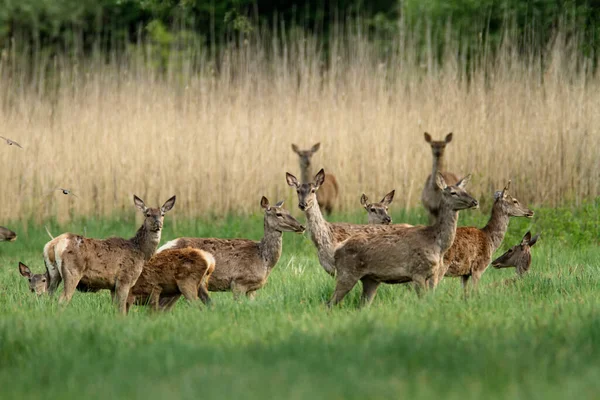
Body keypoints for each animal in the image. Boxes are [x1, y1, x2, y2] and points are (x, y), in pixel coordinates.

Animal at [39, 195, 176, 314]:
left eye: (162, 214)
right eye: (148, 214)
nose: (158, 224)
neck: (141, 252)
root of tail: (53, 244)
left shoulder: (112, 287)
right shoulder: (124, 279)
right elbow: (122, 309)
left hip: (53, 273)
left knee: (48, 297)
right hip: (72, 272)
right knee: (62, 300)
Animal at [157, 197, 304, 300]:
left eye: (288, 212)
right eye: (278, 214)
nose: (302, 226)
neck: (263, 259)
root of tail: (161, 248)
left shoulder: (252, 290)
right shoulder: (238, 282)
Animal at [330, 173, 480, 306]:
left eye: (465, 190)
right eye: (453, 192)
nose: (475, 201)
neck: (438, 245)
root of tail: (338, 248)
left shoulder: (431, 274)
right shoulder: (418, 272)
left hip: (370, 279)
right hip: (346, 273)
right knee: (330, 303)